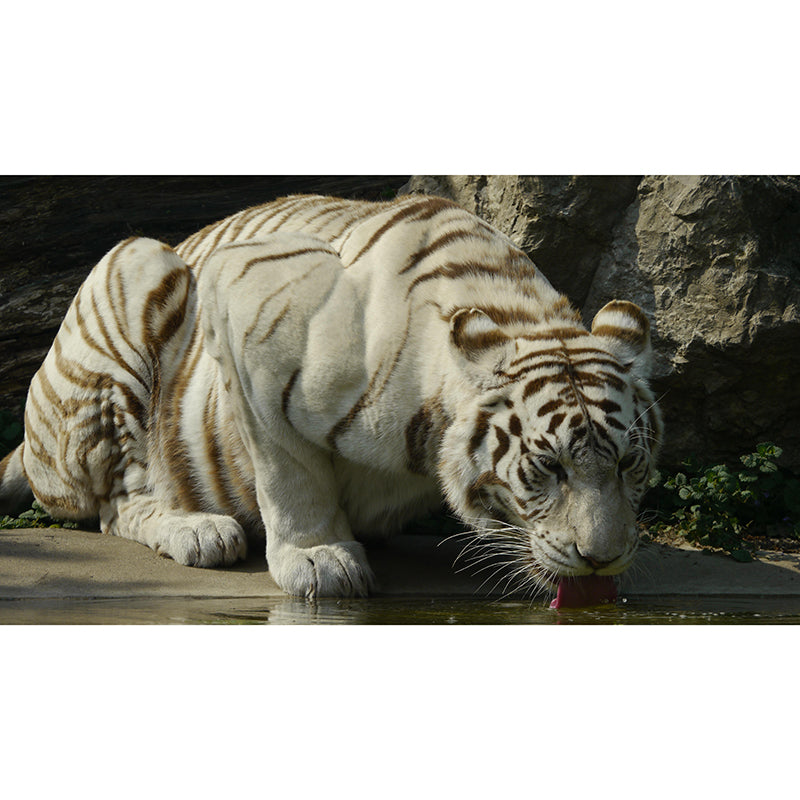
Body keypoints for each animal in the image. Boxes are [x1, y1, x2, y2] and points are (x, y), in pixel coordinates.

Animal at [0, 192, 662, 602]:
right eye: (549, 466)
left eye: (629, 463)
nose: (602, 558)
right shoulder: (246, 304)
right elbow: (290, 471)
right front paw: (319, 559)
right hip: (137, 265)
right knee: (117, 503)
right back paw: (197, 530)